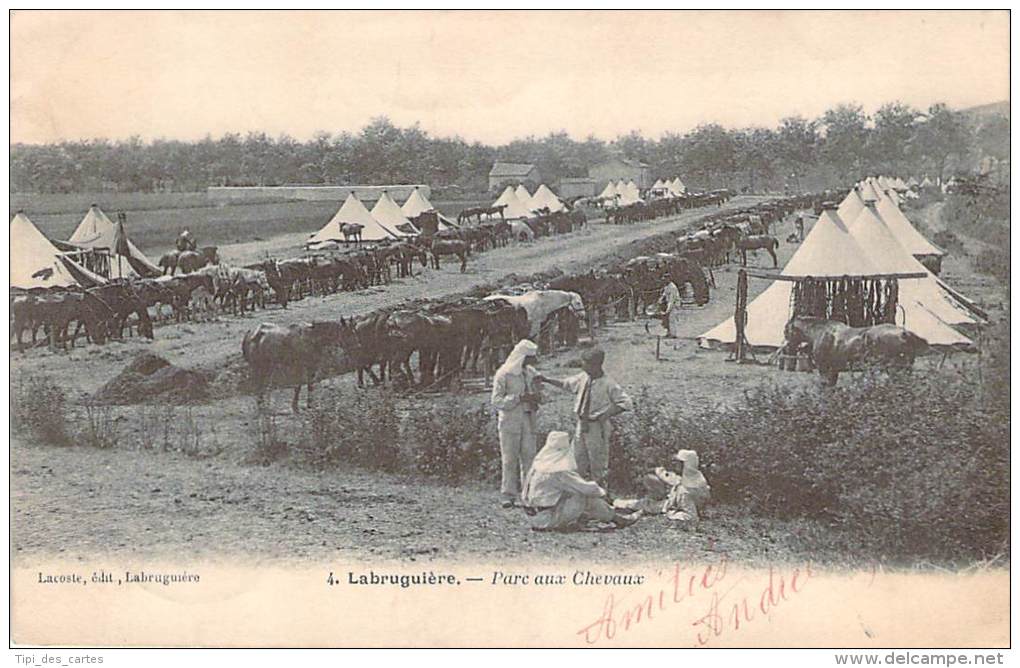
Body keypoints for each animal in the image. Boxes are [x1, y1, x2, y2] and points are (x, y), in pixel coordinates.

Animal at [783, 318, 930, 387]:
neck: (820, 332)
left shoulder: (824, 367)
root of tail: (904, 333)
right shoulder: (834, 369)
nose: (788, 348)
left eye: (786, 331)